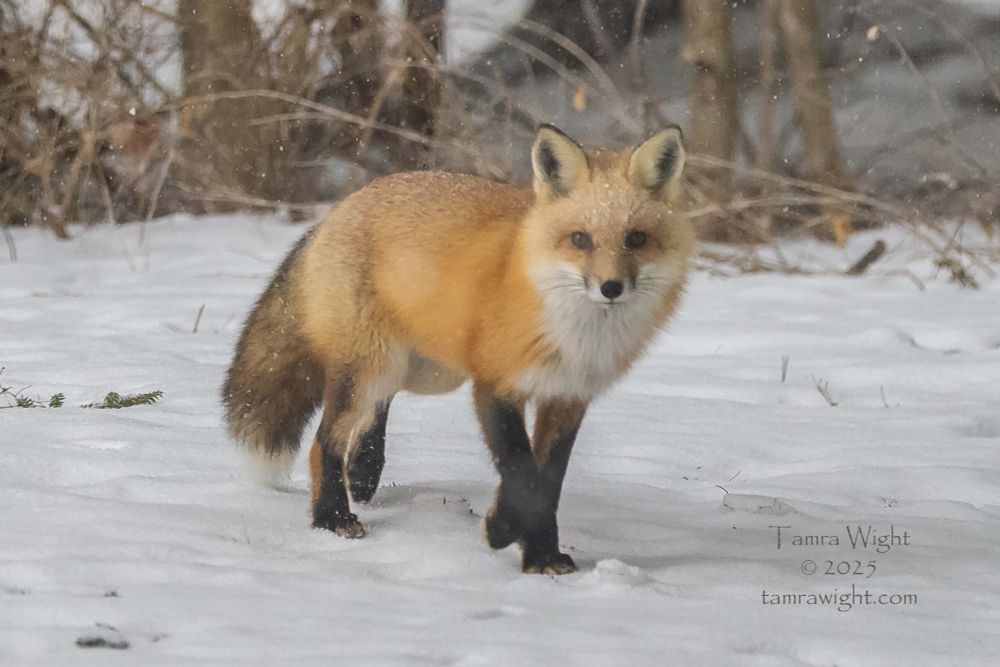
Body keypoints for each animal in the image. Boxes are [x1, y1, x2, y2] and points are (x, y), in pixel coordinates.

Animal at [222, 124, 694, 574]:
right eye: (580, 239)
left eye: (637, 239)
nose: (611, 288)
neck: (575, 332)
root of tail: (338, 209)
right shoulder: (494, 384)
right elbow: (523, 475)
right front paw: (504, 530)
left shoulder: (567, 397)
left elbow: (548, 484)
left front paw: (541, 556)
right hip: (372, 365)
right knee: (325, 442)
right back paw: (331, 519)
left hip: (425, 370)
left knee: (376, 410)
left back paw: (363, 473)